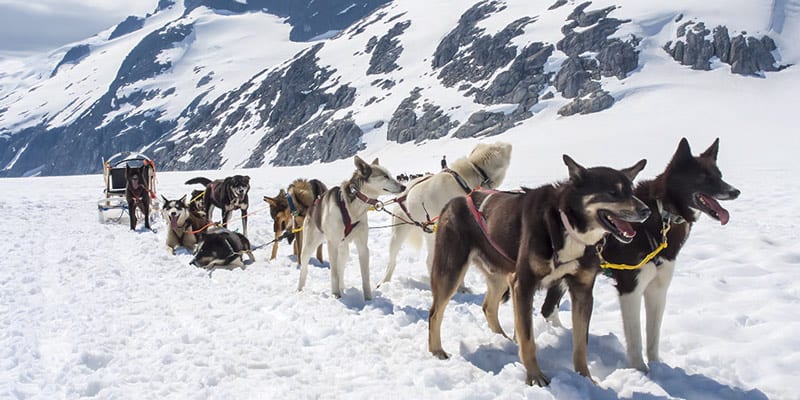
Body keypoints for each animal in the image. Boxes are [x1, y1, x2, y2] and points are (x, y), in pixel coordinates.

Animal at [296, 156, 404, 300]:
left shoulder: (363, 247)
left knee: (341, 268)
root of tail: (313, 205)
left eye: (390, 175)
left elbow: (365, 276)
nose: (404, 186)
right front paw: (335, 294)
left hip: (344, 250)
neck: (353, 208)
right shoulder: (332, 244)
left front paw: (368, 299)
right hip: (310, 246)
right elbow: (334, 273)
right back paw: (300, 289)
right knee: (305, 268)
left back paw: (342, 287)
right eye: (385, 176)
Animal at [380, 142, 512, 286]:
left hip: (431, 234)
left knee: (429, 261)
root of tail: (403, 193)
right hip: (398, 234)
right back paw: (384, 281)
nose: (509, 145)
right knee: (392, 261)